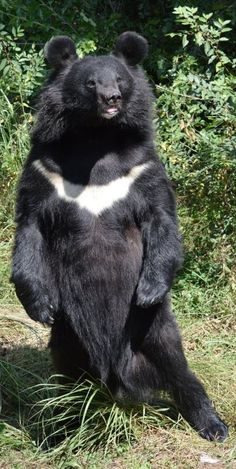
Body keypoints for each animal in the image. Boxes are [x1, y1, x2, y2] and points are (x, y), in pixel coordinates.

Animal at [10, 32, 227, 438]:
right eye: (90, 83)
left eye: (120, 80)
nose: (111, 98)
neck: (97, 137)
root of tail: (119, 377)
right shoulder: (43, 168)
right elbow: (29, 228)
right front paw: (39, 306)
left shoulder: (143, 167)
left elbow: (162, 219)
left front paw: (148, 290)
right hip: (69, 334)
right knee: (66, 370)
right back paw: (63, 425)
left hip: (151, 328)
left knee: (176, 366)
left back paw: (212, 424)